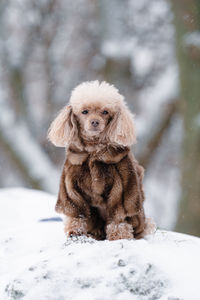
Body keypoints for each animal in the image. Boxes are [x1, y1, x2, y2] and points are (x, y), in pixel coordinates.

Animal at [47, 81, 154, 240]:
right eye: (84, 111)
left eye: (105, 112)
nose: (95, 122)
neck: (93, 151)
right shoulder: (72, 190)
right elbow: (77, 214)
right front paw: (75, 231)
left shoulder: (119, 192)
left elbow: (118, 217)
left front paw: (119, 236)